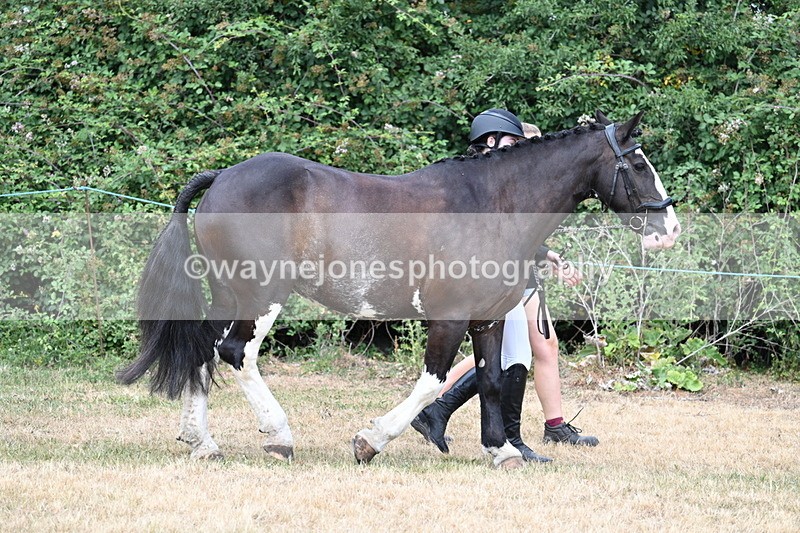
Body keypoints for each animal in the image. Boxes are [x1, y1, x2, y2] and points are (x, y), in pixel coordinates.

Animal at [118, 110, 680, 469]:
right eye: (637, 164)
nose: (669, 229)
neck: (492, 204)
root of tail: (221, 179)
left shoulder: (488, 318)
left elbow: (492, 380)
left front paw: (501, 451)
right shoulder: (449, 318)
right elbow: (432, 381)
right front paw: (370, 441)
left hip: (231, 294)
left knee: (202, 349)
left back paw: (202, 443)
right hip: (260, 296)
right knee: (237, 353)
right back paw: (278, 437)